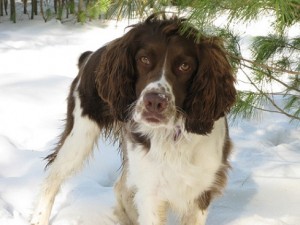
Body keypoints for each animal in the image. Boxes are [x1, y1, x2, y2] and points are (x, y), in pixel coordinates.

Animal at [30, 14, 237, 225]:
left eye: (184, 66)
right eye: (144, 59)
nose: (154, 101)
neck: (171, 137)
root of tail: (89, 56)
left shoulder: (200, 191)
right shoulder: (151, 190)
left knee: (121, 188)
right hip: (79, 136)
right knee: (52, 178)